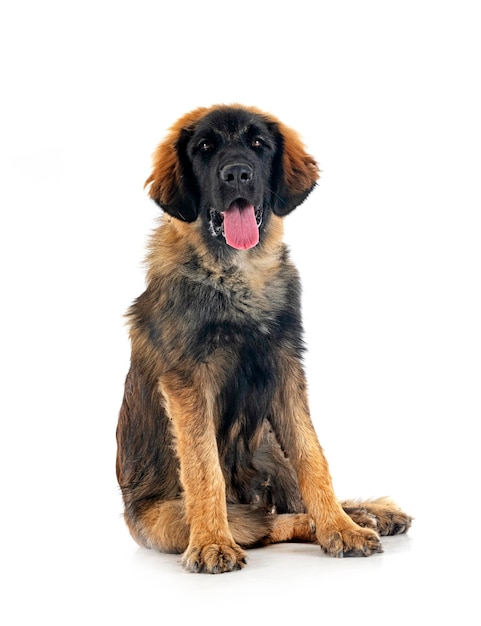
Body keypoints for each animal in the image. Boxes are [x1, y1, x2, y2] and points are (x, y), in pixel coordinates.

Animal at [115, 105, 408, 572]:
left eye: (258, 144)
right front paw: (212, 543)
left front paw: (340, 528)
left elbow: (313, 456)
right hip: (168, 518)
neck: (236, 274)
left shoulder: (285, 367)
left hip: (268, 443)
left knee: (287, 501)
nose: (237, 174)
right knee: (263, 522)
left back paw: (364, 514)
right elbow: (204, 468)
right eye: (204, 147)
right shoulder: (187, 382)